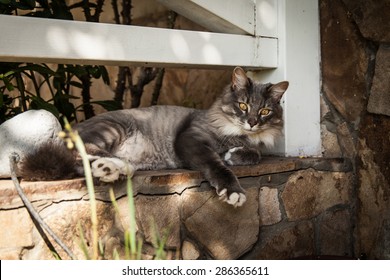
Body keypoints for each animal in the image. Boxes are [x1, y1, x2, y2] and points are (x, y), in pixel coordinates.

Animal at [22, 67, 290, 208]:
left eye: (264, 111)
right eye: (243, 106)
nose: (252, 122)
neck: (236, 134)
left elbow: (255, 153)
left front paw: (235, 155)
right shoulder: (191, 139)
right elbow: (216, 164)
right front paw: (232, 189)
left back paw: (113, 168)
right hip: (111, 128)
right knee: (79, 153)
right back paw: (115, 166)